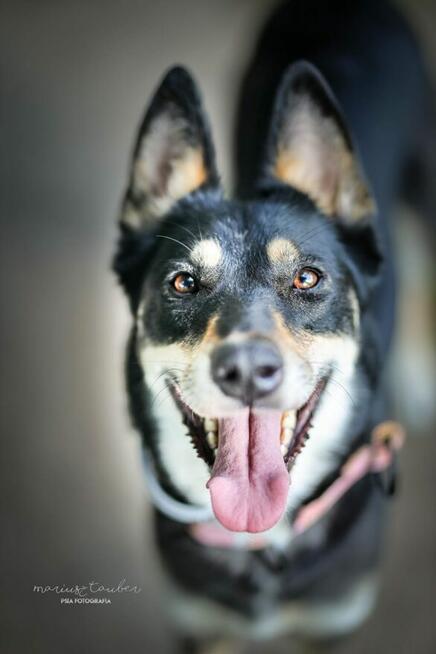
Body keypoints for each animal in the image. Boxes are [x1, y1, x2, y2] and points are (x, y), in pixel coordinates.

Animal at [112, 0, 432, 652]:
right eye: (182, 283)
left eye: (307, 278)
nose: (246, 371)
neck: (262, 535)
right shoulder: (197, 624)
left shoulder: (331, 624)